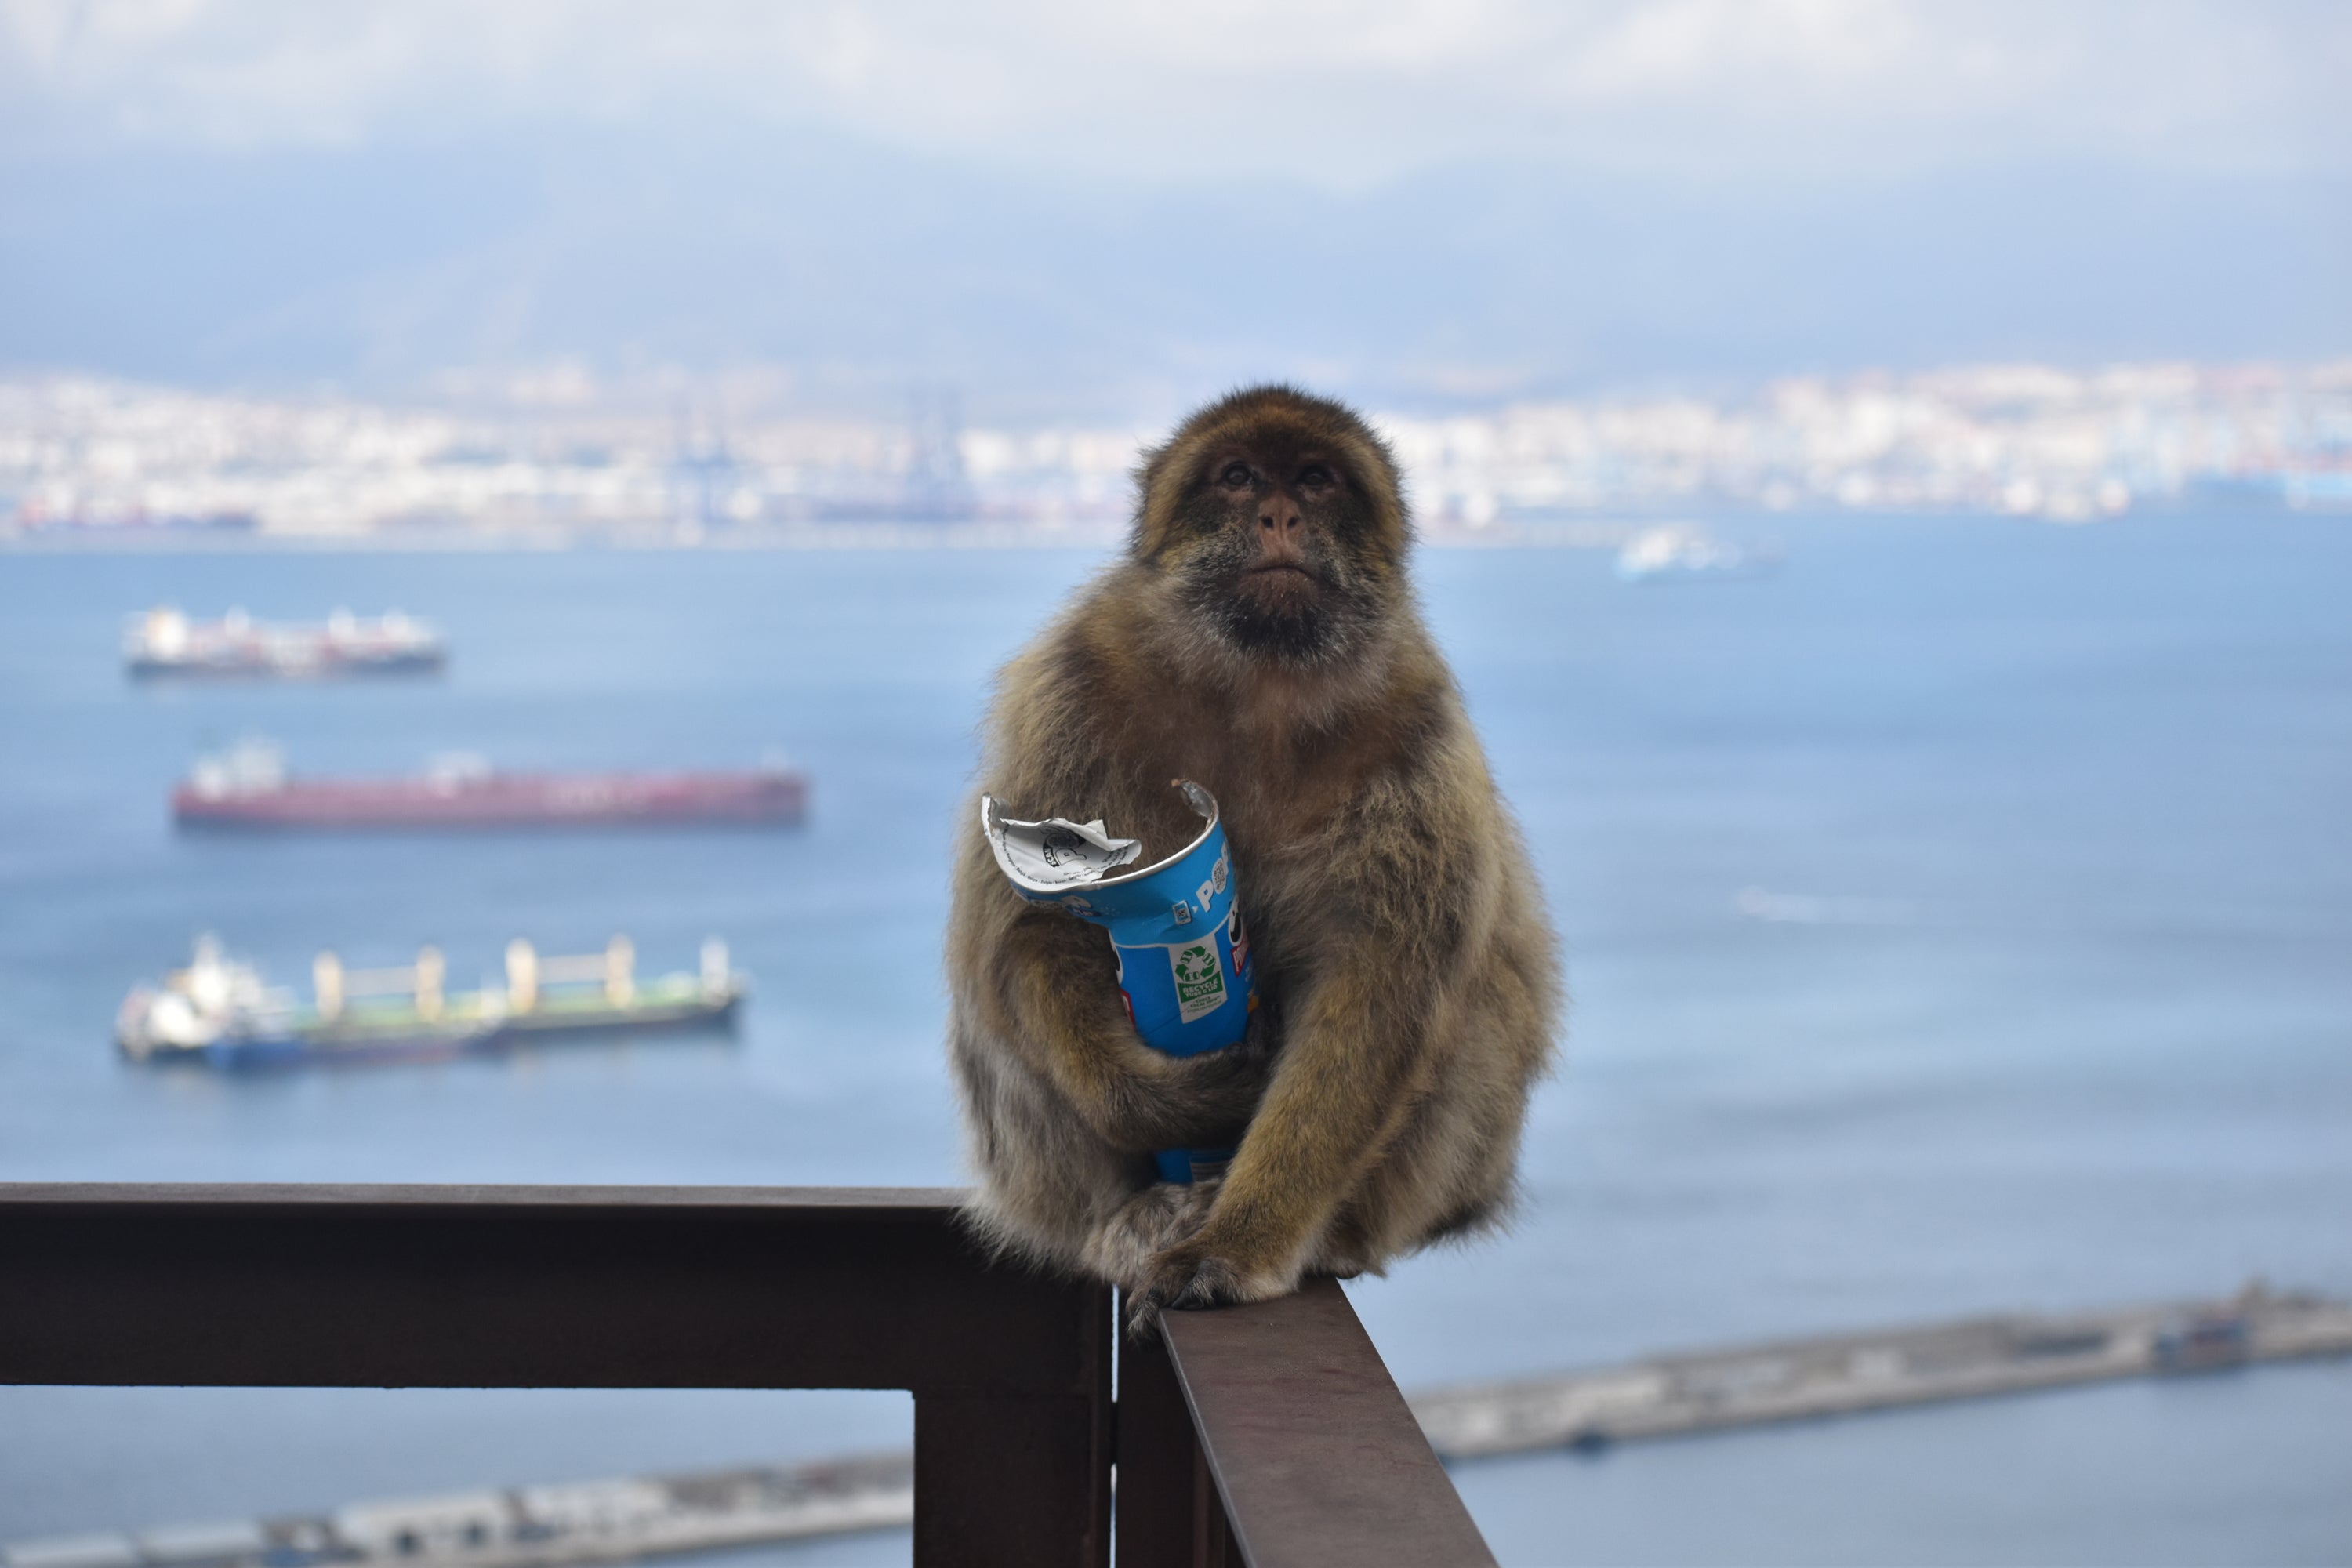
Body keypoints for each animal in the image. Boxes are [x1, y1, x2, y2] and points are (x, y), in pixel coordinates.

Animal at [946, 384, 1561, 1333]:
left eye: (1315, 479)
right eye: (1237, 478)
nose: (1279, 514)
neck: (1260, 684)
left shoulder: (1418, 734)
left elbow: (1377, 989)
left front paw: (1240, 1245)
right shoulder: (1071, 684)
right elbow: (1029, 928)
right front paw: (1180, 1099)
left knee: (1482, 996)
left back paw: (1327, 1232)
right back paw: (1135, 1212)